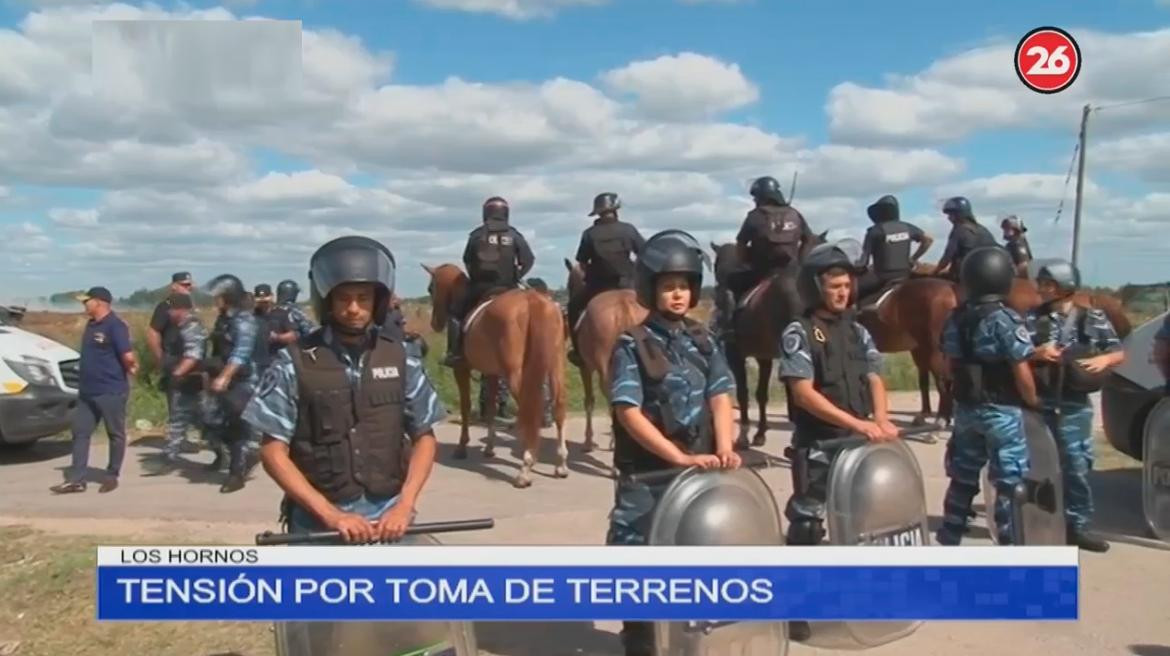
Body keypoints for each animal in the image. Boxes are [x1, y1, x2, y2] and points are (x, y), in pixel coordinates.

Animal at [423, 261, 568, 486]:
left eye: (432, 288)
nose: (435, 323)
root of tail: (532, 301)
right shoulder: (491, 373)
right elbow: (490, 406)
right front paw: (490, 447)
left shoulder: (461, 369)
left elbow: (466, 406)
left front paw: (462, 447)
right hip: (555, 365)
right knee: (558, 405)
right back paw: (561, 464)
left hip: (517, 374)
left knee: (530, 409)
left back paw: (526, 467)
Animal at [706, 240, 800, 444]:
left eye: (716, 265)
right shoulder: (763, 357)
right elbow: (761, 394)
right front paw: (760, 434)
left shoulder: (735, 354)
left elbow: (743, 392)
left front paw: (743, 435)